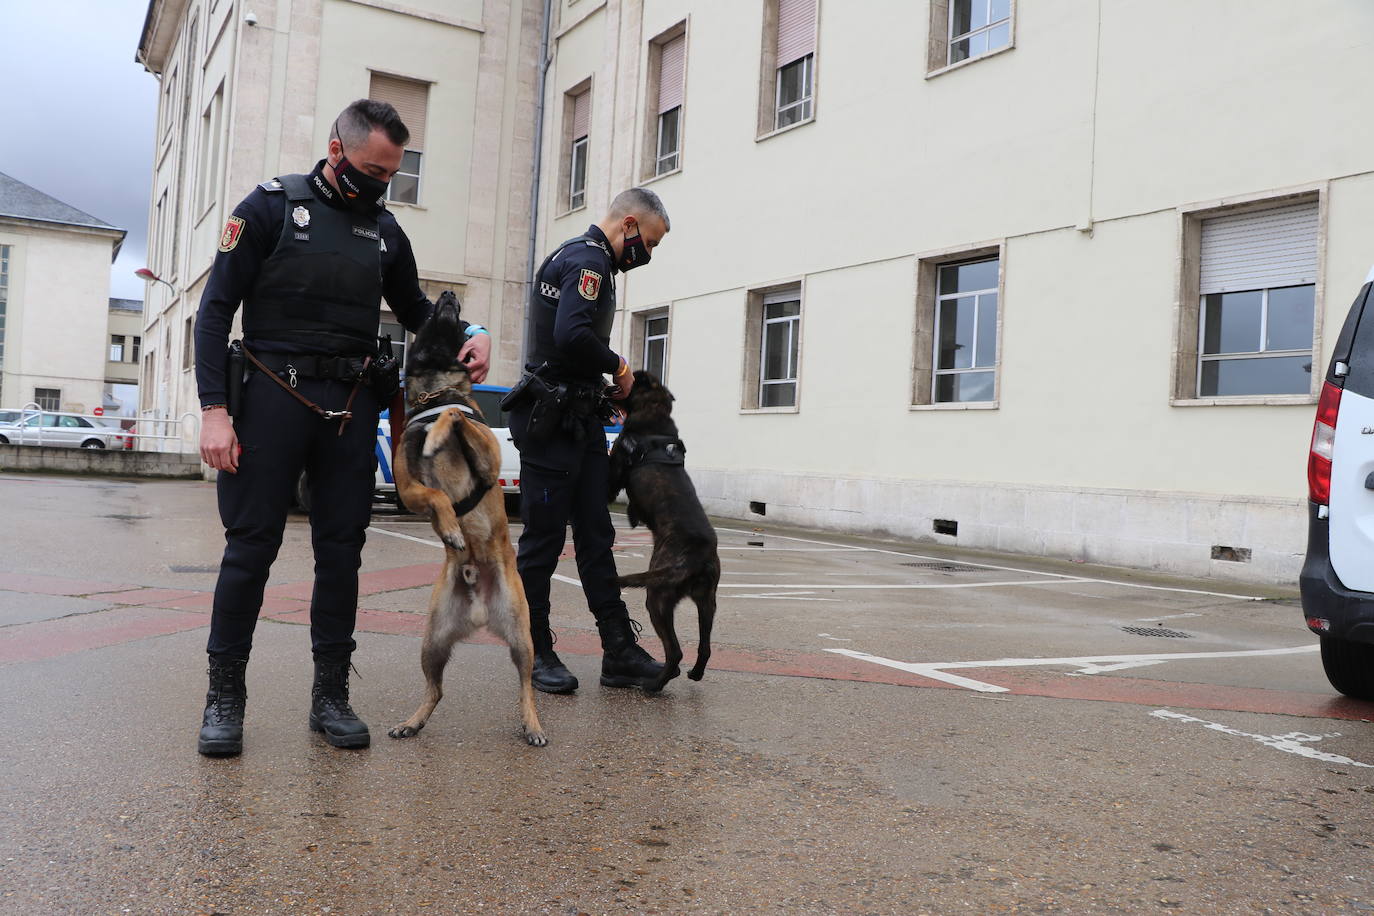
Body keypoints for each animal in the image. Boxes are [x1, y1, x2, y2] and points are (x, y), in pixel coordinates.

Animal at [387, 292, 546, 747]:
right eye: (431, 318)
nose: (447, 295)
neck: (434, 392)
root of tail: (480, 608)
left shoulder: (488, 460)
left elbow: (455, 417)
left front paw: (440, 432)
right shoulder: (409, 488)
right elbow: (437, 494)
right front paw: (451, 530)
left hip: (522, 638)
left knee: (525, 686)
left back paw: (532, 724)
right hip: (433, 640)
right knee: (436, 689)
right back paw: (412, 721)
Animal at [610, 368, 725, 692]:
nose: (608, 384)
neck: (655, 407)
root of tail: (699, 558)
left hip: (657, 598)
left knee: (675, 651)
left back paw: (654, 685)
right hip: (707, 602)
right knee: (704, 647)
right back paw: (694, 673)